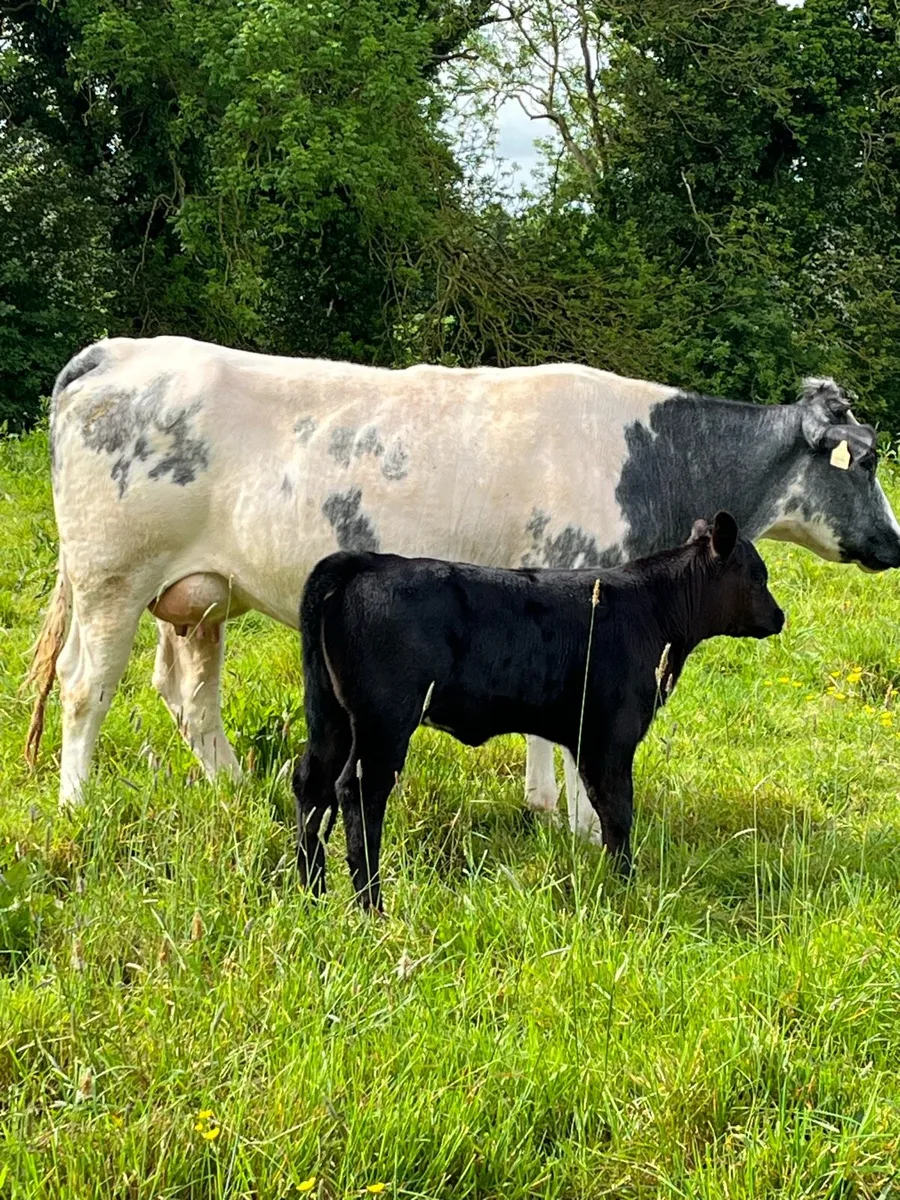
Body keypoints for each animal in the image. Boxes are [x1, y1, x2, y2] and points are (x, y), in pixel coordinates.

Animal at [24, 336, 900, 822]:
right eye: (867, 464)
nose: (895, 542)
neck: (655, 459)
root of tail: (114, 350)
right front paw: (585, 827)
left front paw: (548, 812)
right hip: (111, 575)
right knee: (85, 685)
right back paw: (76, 807)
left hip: (198, 596)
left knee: (187, 694)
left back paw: (240, 793)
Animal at [293, 513, 785, 910]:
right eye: (758, 576)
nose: (780, 617)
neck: (652, 609)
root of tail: (367, 562)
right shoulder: (611, 736)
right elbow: (616, 811)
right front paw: (624, 883)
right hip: (385, 723)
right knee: (358, 794)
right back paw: (370, 905)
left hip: (331, 715)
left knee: (312, 784)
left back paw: (312, 893)